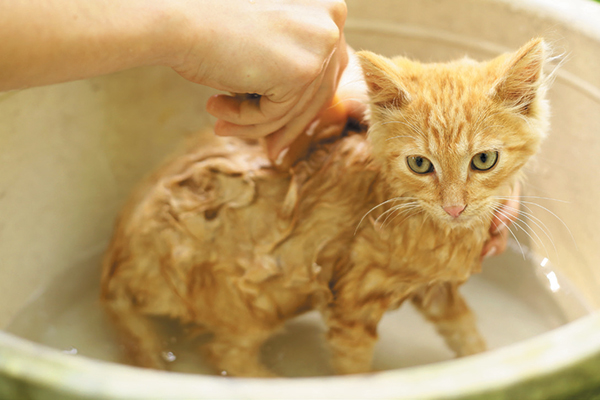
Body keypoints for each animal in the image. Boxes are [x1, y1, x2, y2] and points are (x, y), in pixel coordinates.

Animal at [101, 39, 552, 376]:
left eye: (484, 160)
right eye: (420, 165)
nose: (455, 207)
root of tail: (115, 258)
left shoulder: (437, 290)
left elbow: (466, 333)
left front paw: (486, 360)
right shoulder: (352, 302)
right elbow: (354, 369)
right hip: (253, 298)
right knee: (225, 353)